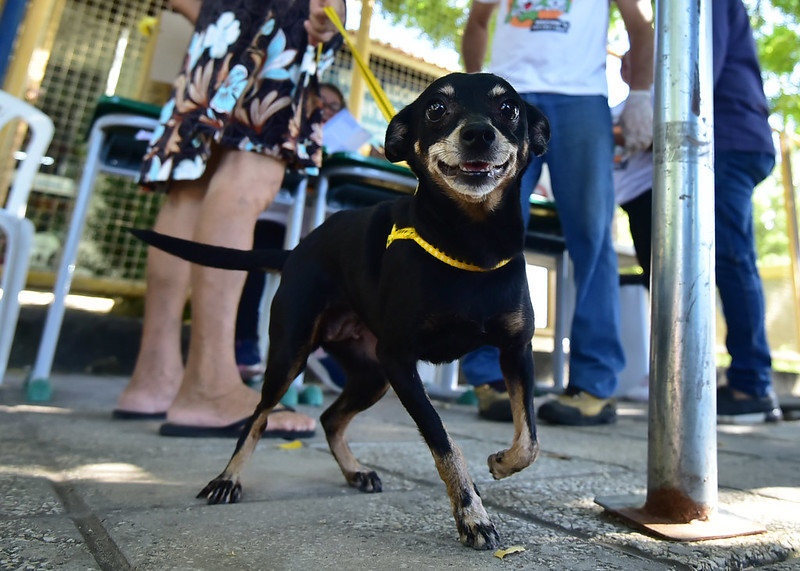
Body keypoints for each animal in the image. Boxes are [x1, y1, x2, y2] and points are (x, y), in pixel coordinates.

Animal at [136, 72, 552, 548]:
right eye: (435, 109)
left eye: (510, 109)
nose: (479, 134)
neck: (472, 244)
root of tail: (296, 250)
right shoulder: (400, 360)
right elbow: (444, 440)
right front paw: (471, 512)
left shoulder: (515, 352)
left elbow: (529, 441)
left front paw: (500, 463)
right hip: (293, 355)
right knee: (258, 419)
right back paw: (228, 478)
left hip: (372, 375)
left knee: (330, 417)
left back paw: (355, 471)